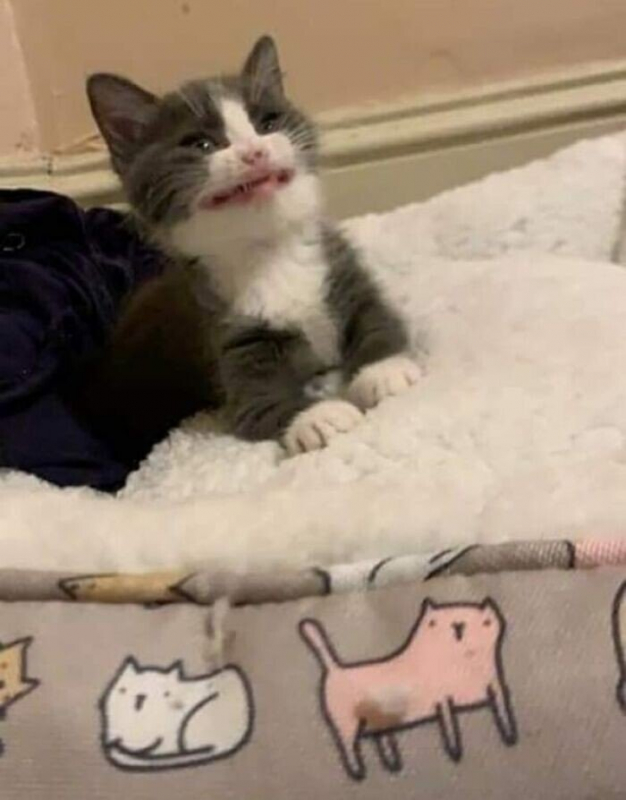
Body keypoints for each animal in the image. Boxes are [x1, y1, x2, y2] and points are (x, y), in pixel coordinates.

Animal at [76, 35, 421, 466]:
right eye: (202, 144)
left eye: (268, 123)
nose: (255, 151)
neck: (269, 250)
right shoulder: (224, 332)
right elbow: (257, 402)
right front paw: (318, 417)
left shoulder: (341, 268)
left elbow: (378, 318)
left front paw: (383, 370)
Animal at [300, 598, 517, 780]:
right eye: (433, 623)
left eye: (487, 622)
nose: (458, 626)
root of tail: (334, 668)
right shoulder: (443, 700)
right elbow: (449, 726)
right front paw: (454, 749)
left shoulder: (495, 687)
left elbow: (503, 714)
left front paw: (508, 734)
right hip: (346, 722)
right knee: (348, 746)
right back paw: (357, 770)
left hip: (377, 722)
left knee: (381, 739)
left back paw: (392, 763)